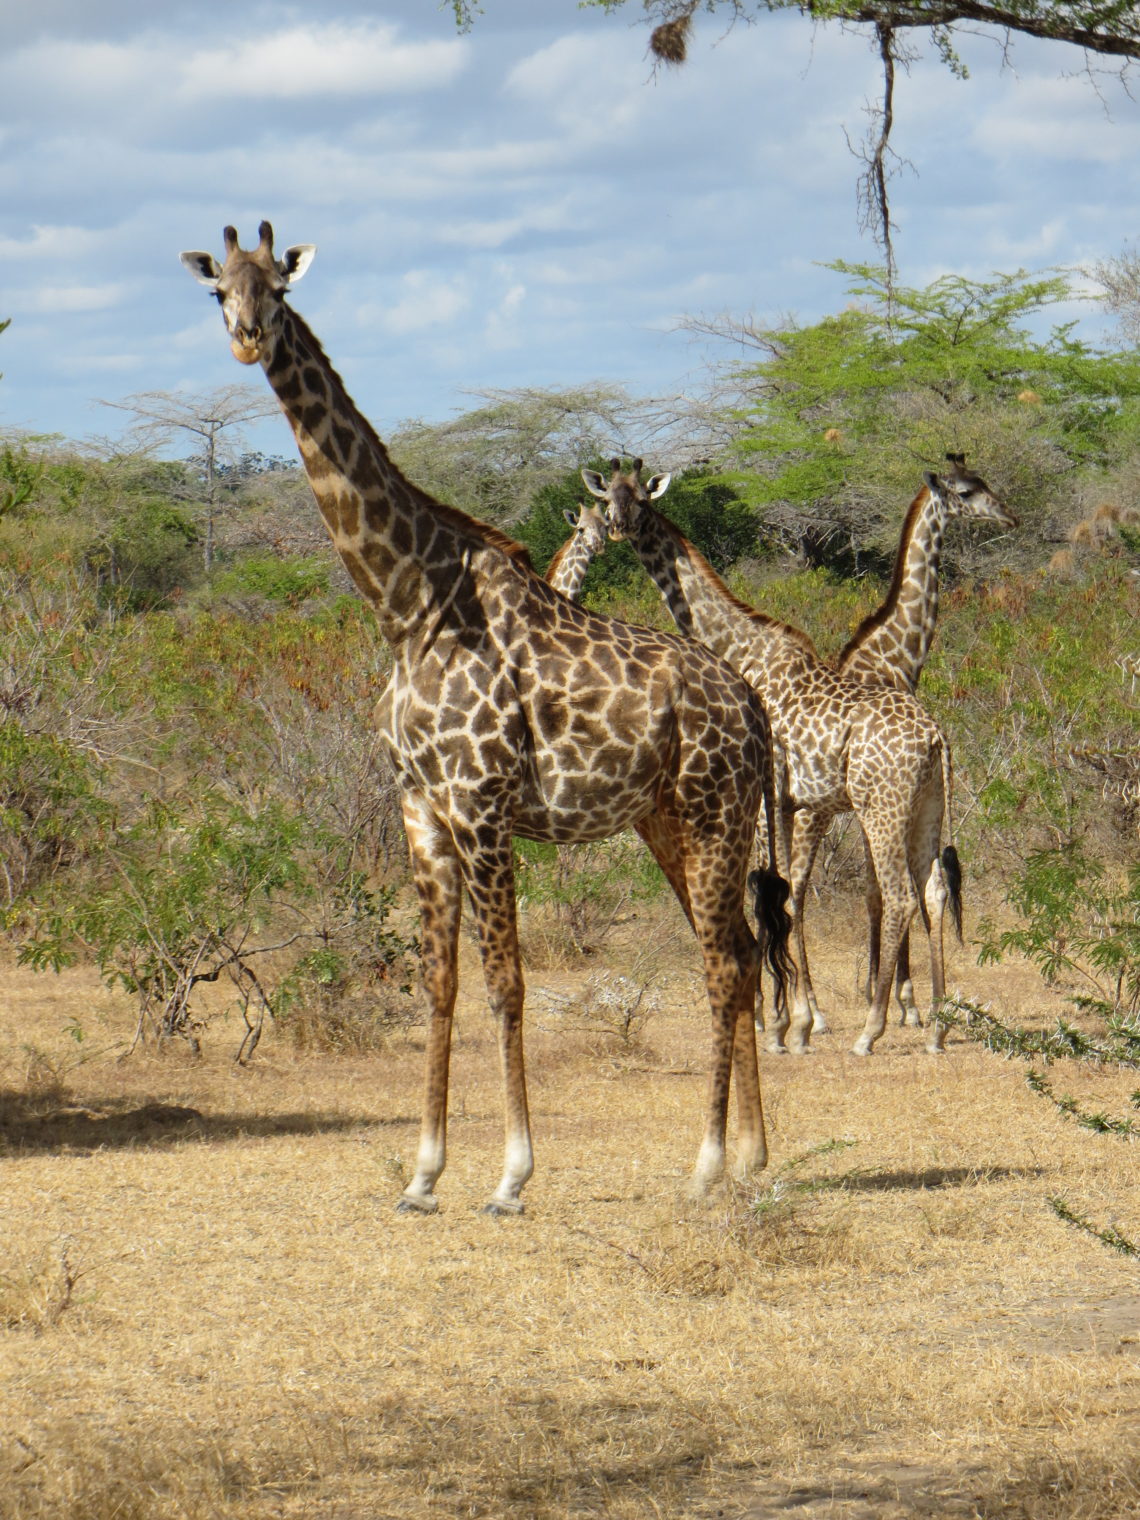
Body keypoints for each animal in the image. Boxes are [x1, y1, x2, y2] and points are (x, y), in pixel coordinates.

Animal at [180, 224, 796, 1209]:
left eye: (279, 286)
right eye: (217, 292)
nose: (246, 337)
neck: (407, 604)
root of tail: (752, 707)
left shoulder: (481, 803)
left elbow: (507, 983)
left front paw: (511, 1174)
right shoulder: (421, 808)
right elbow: (439, 982)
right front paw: (423, 1173)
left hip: (715, 813)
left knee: (726, 960)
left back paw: (707, 1166)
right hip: (670, 821)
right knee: (734, 951)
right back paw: (751, 1159)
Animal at [583, 456, 960, 1064]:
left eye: (640, 498)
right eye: (608, 497)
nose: (618, 527)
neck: (742, 650)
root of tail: (935, 736)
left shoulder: (760, 796)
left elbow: (764, 896)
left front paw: (777, 1021)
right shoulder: (788, 802)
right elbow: (782, 895)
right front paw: (789, 1020)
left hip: (879, 808)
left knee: (896, 895)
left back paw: (871, 1029)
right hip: (924, 806)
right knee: (931, 891)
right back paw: (935, 1029)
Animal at [832, 449, 1015, 1021]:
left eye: (984, 481)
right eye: (967, 491)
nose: (1010, 516)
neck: (897, 657)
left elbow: (886, 888)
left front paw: (893, 990)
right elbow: (886, 888)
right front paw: (901, 997)